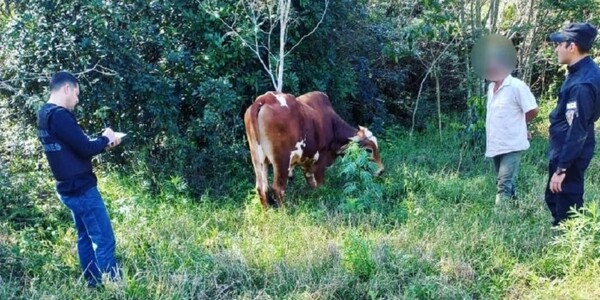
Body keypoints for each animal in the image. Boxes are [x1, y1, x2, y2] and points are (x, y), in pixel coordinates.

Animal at [244, 91, 384, 209]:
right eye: (369, 150)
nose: (381, 170)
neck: (332, 124)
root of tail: (266, 98)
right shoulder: (320, 157)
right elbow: (320, 185)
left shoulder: (306, 161)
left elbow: (311, 181)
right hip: (282, 160)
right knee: (278, 188)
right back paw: (284, 210)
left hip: (258, 159)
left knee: (261, 187)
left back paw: (267, 210)